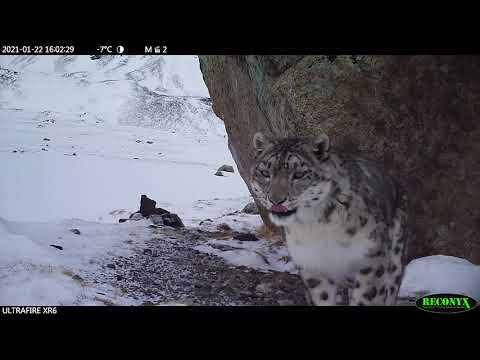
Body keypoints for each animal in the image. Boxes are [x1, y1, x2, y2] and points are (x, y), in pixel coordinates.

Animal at [249, 131, 410, 306]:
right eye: (265, 173)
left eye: (299, 174)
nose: (276, 200)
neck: (316, 225)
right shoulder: (313, 267)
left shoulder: (370, 261)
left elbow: (365, 299)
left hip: (394, 259)